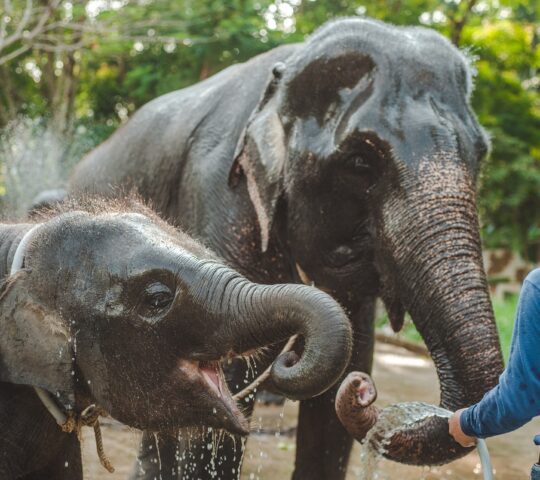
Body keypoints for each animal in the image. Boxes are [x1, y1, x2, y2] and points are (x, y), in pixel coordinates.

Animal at [69, 16, 504, 478]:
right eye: (361, 162)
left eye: (480, 154)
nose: (364, 393)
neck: (287, 67)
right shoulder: (218, 193)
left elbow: (338, 393)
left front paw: (345, 380)